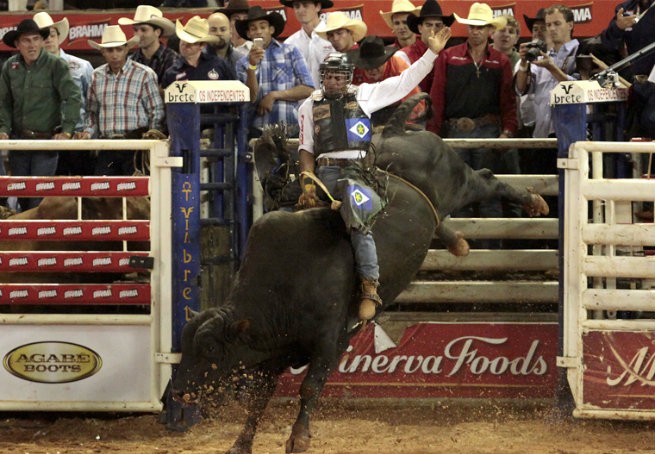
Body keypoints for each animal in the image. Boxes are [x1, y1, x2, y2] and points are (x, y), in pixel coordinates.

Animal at [169, 94, 548, 452]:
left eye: (210, 348)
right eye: (184, 345)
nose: (177, 392)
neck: (282, 288)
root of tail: (393, 130)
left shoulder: (332, 341)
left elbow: (310, 387)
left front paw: (299, 437)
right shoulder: (270, 353)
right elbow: (259, 399)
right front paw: (241, 443)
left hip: (458, 184)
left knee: (486, 179)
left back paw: (533, 202)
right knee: (448, 214)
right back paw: (458, 242)